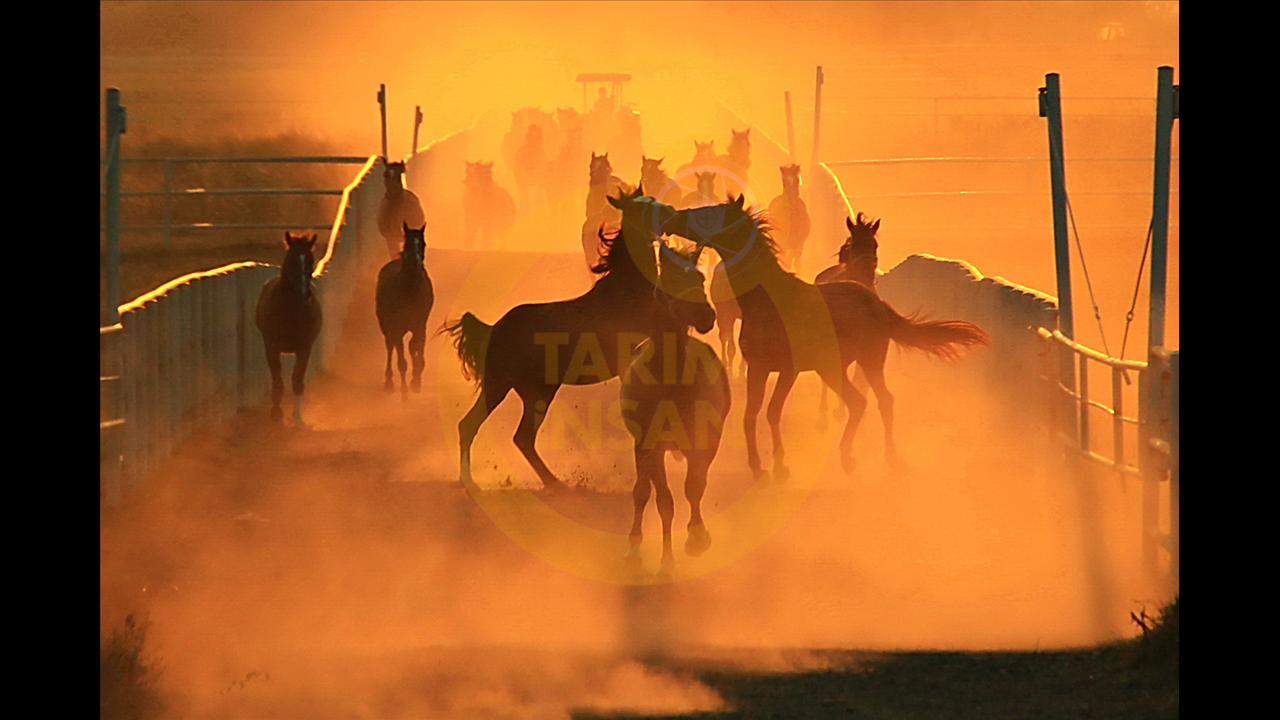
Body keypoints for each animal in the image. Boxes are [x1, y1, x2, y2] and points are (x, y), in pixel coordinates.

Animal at [255, 232, 323, 426]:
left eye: (310, 259)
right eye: (292, 260)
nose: (304, 292)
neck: (291, 309)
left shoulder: (304, 347)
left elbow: (297, 379)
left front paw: (298, 418)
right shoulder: (272, 345)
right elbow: (277, 378)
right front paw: (276, 414)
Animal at [375, 223, 435, 396]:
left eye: (423, 243)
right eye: (407, 243)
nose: (415, 263)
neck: (410, 291)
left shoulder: (420, 324)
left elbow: (416, 348)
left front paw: (416, 380)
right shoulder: (397, 327)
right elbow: (401, 358)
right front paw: (405, 390)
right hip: (385, 323)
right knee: (390, 345)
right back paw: (389, 381)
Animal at [442, 186, 676, 491]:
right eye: (641, 206)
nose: (671, 212)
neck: (627, 287)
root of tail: (493, 329)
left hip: (531, 390)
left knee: (518, 436)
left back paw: (551, 482)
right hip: (503, 385)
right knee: (481, 428)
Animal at [621, 242, 726, 578]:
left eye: (700, 278)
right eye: (669, 281)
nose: (706, 315)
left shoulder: (702, 440)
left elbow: (695, 487)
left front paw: (696, 538)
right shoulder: (649, 445)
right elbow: (663, 501)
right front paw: (665, 563)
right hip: (644, 449)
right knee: (642, 492)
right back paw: (634, 551)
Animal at [661, 196, 989, 479]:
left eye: (710, 214)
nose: (671, 218)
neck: (769, 301)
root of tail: (878, 304)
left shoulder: (788, 370)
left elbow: (772, 412)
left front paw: (780, 466)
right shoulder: (758, 367)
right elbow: (751, 414)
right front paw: (757, 466)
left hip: (865, 361)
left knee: (872, 401)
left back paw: (867, 458)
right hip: (837, 367)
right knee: (867, 402)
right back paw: (871, 458)